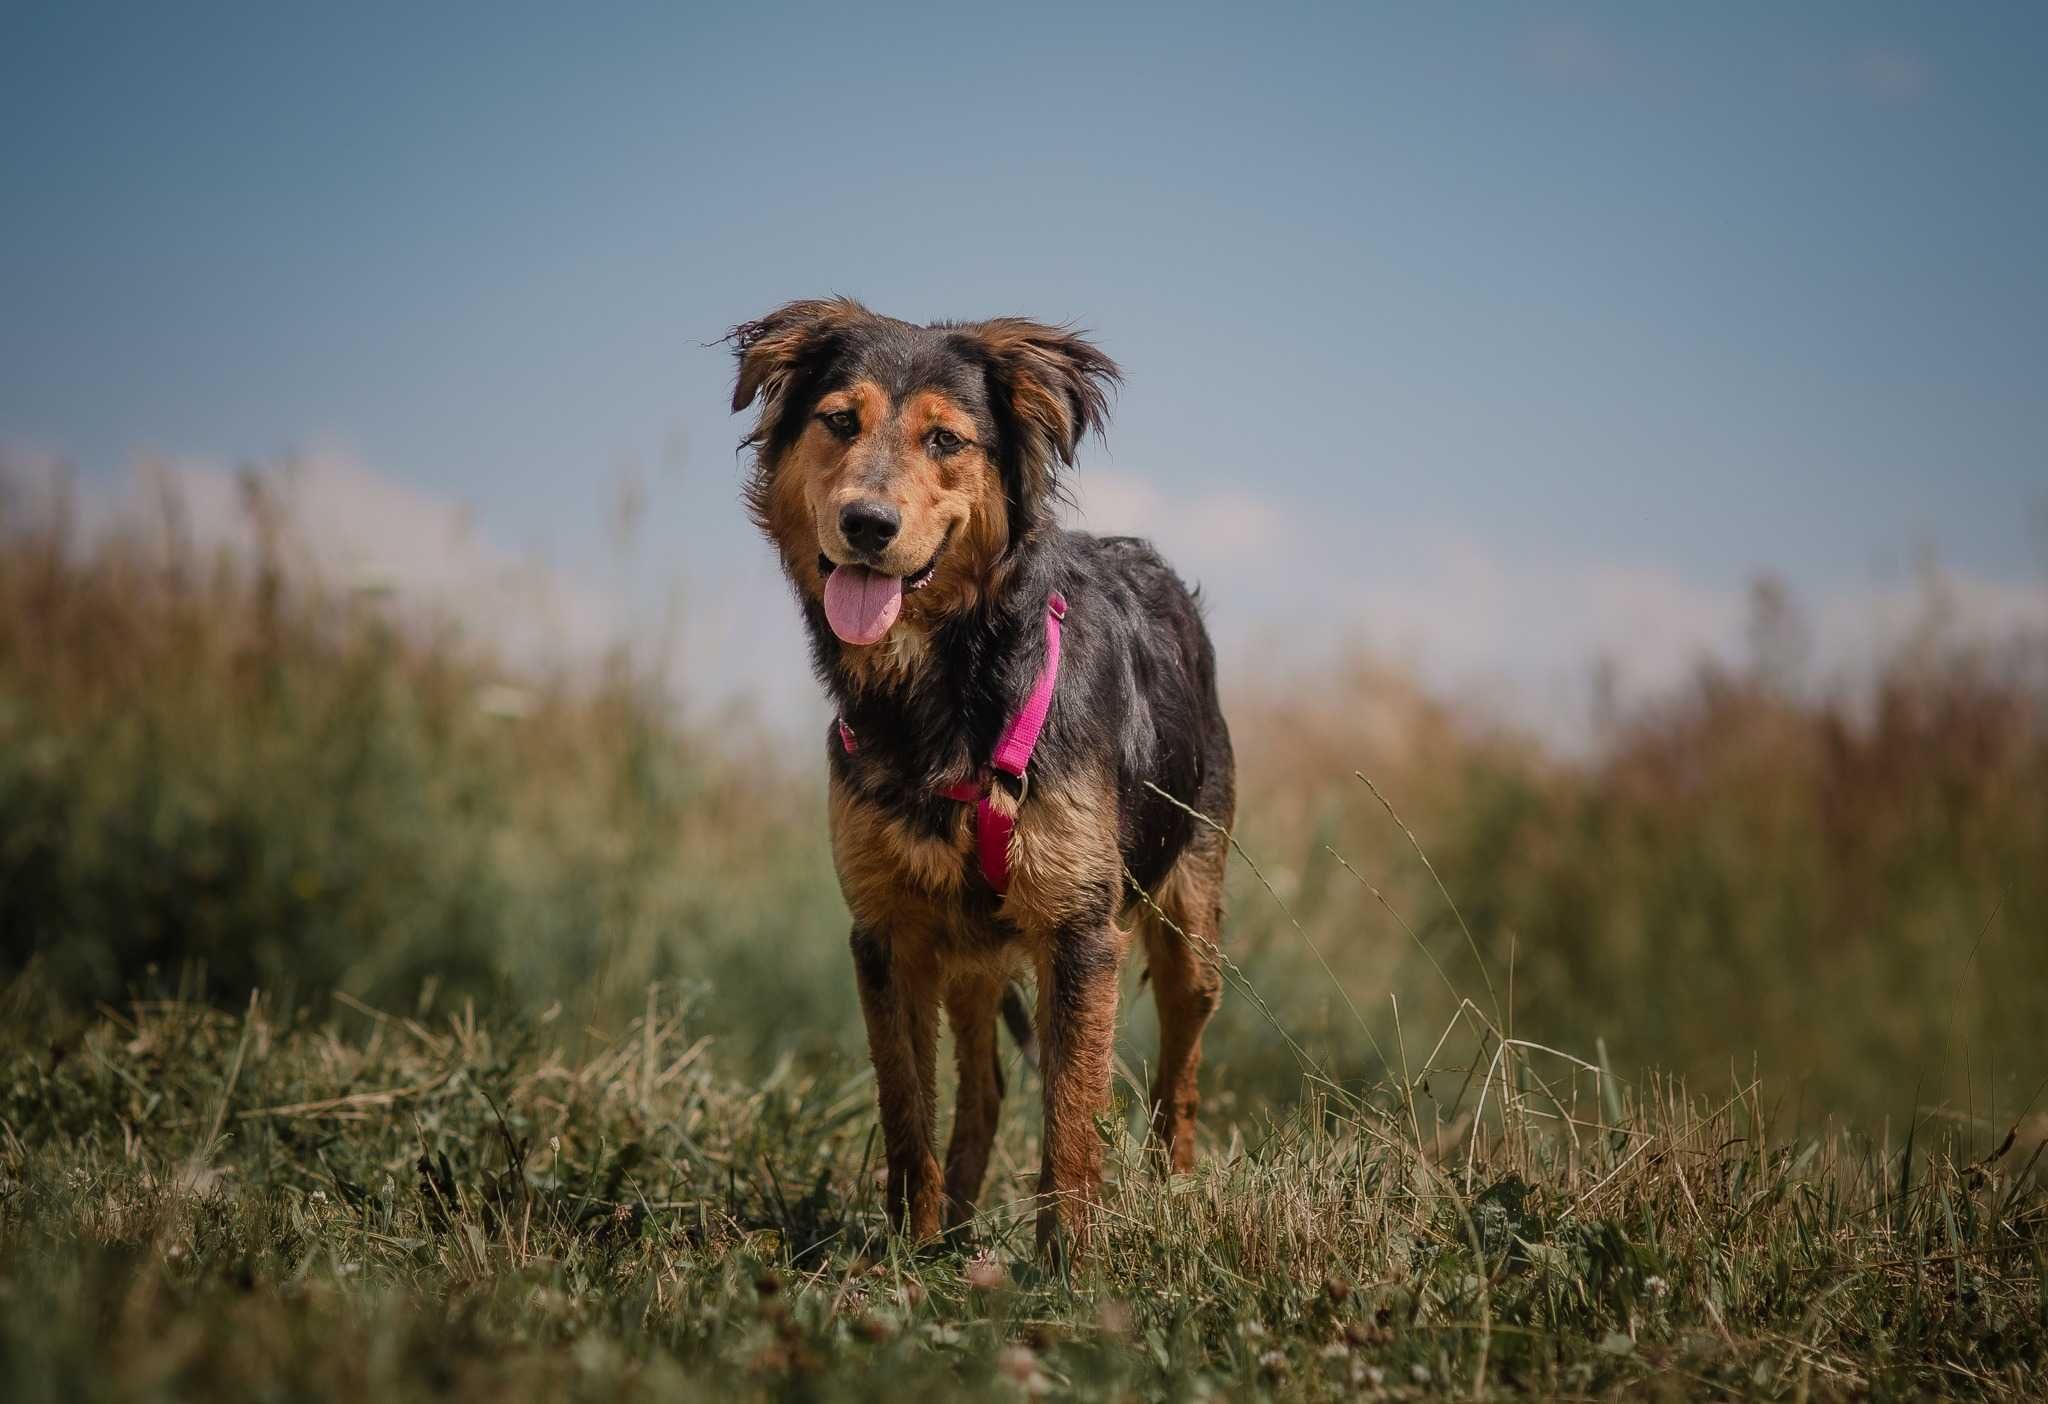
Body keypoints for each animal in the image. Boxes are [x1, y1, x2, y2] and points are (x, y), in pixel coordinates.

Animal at [729, 302, 1228, 1260]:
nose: (867, 524)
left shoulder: (1079, 928)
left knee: (1178, 1082)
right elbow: (906, 1109)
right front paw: (905, 1248)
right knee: (986, 1087)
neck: (943, 686)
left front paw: (1068, 1266)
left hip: (1191, 918)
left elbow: (1071, 1117)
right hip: (970, 952)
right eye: (838, 422)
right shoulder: (889, 931)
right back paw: (952, 1231)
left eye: (945, 440)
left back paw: (1178, 1195)